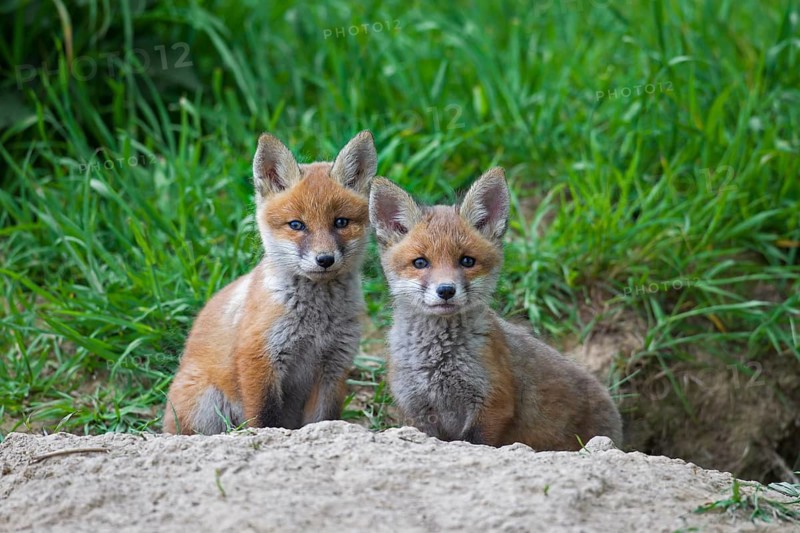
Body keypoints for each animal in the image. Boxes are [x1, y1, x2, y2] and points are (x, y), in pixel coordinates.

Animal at [163, 131, 377, 434]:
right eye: (297, 225)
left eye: (341, 222)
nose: (324, 259)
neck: (316, 323)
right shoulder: (260, 360)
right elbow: (264, 419)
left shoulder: (334, 365)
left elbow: (323, 420)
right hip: (206, 404)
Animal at [369, 168, 623, 450]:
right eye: (420, 262)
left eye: (467, 261)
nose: (446, 290)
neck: (438, 363)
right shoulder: (417, 409)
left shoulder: (493, 403)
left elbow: (476, 442)